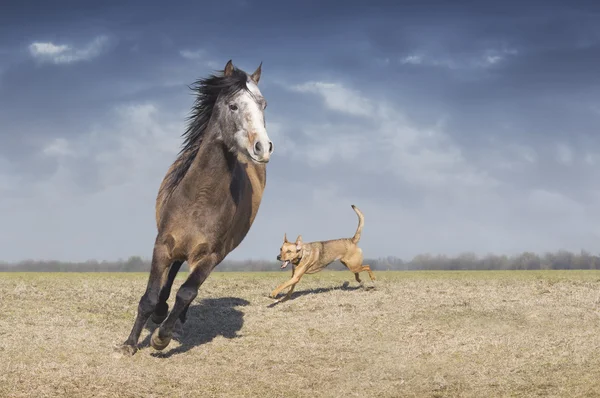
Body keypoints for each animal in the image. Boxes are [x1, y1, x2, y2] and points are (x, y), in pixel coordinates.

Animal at [118, 58, 274, 354]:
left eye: (263, 105)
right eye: (233, 106)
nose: (263, 147)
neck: (199, 198)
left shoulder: (211, 255)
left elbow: (188, 291)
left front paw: (161, 337)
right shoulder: (162, 244)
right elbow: (149, 296)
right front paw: (130, 343)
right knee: (173, 273)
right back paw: (161, 311)